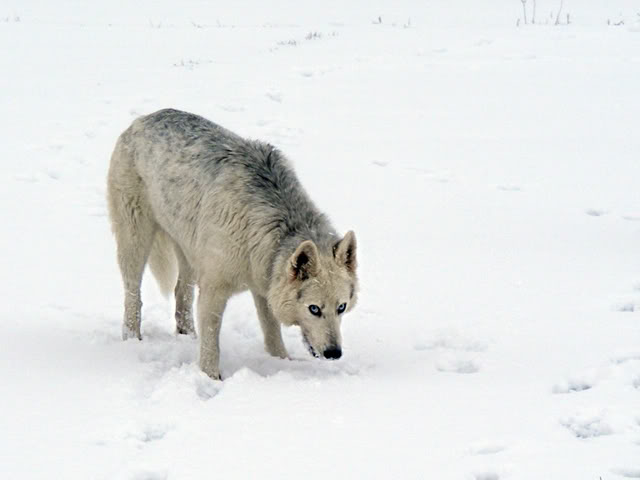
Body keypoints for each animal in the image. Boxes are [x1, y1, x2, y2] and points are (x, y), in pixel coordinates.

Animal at [107, 108, 358, 378]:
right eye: (314, 309)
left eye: (341, 307)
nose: (334, 353)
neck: (264, 228)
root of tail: (144, 118)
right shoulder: (214, 289)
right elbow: (211, 343)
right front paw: (211, 378)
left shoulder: (263, 285)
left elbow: (272, 336)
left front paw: (282, 363)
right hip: (136, 241)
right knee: (133, 295)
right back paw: (132, 339)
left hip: (190, 256)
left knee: (181, 294)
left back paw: (187, 338)